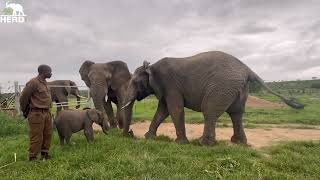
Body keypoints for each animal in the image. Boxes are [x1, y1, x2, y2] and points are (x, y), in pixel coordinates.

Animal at [121, 50, 304, 145]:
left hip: (222, 86)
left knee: (209, 111)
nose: (130, 134)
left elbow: (174, 109)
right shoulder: (167, 89)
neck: (151, 66)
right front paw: (149, 138)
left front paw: (181, 144)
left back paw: (202, 143)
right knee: (236, 113)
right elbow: (163, 111)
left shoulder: (171, 85)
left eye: (135, 82)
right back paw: (238, 143)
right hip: (238, 88)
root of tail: (248, 69)